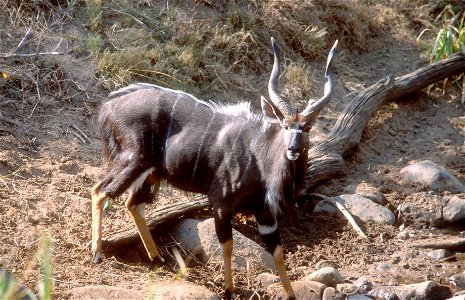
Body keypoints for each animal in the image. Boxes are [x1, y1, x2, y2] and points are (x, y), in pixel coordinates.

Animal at [91, 38, 338, 298]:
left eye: (307, 128)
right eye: (285, 126)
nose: (292, 149)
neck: (259, 157)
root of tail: (109, 106)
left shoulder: (264, 212)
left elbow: (278, 251)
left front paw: (290, 294)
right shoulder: (221, 202)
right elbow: (227, 245)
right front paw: (228, 290)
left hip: (149, 172)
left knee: (132, 204)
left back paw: (156, 258)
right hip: (133, 161)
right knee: (100, 191)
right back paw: (97, 254)